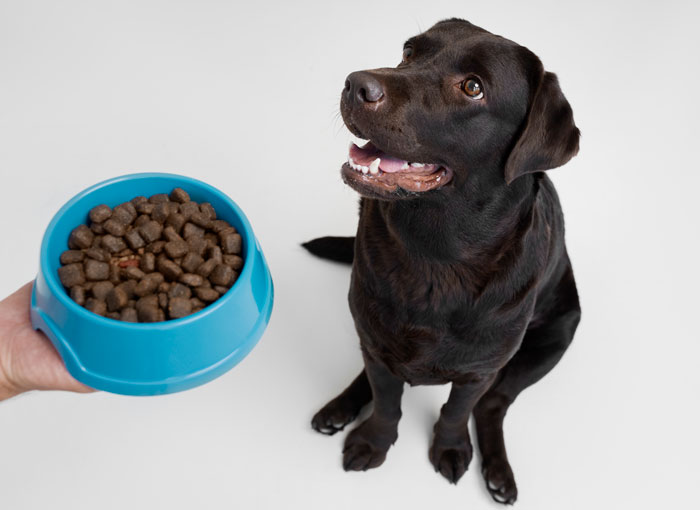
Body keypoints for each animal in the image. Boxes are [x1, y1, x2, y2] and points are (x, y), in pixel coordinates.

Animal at [302, 17, 580, 504]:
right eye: (409, 52)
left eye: (472, 87)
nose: (355, 83)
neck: (437, 255)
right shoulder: (378, 344)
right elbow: (387, 400)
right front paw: (373, 441)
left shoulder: (478, 372)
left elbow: (456, 411)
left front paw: (450, 449)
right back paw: (339, 408)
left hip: (556, 336)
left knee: (492, 407)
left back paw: (499, 474)